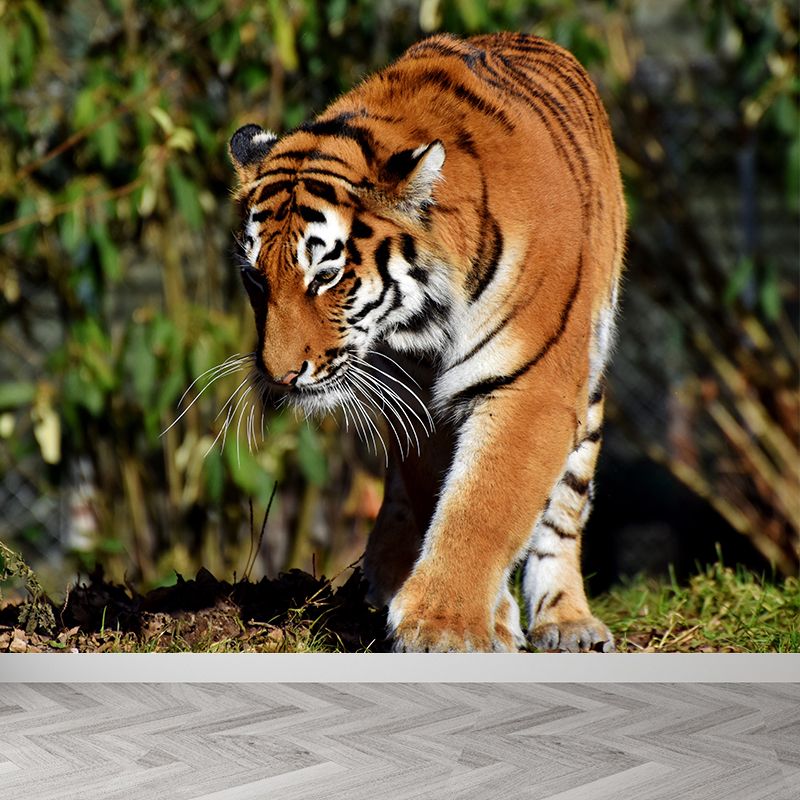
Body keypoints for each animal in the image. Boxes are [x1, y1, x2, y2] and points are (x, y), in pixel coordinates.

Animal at [227, 32, 626, 652]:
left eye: (326, 276)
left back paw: (567, 621)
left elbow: (485, 504)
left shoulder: (531, 386)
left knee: (562, 512)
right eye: (255, 279)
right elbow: (439, 494)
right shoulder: (413, 397)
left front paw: (444, 627)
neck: (420, 321)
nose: (279, 375)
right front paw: (484, 619)